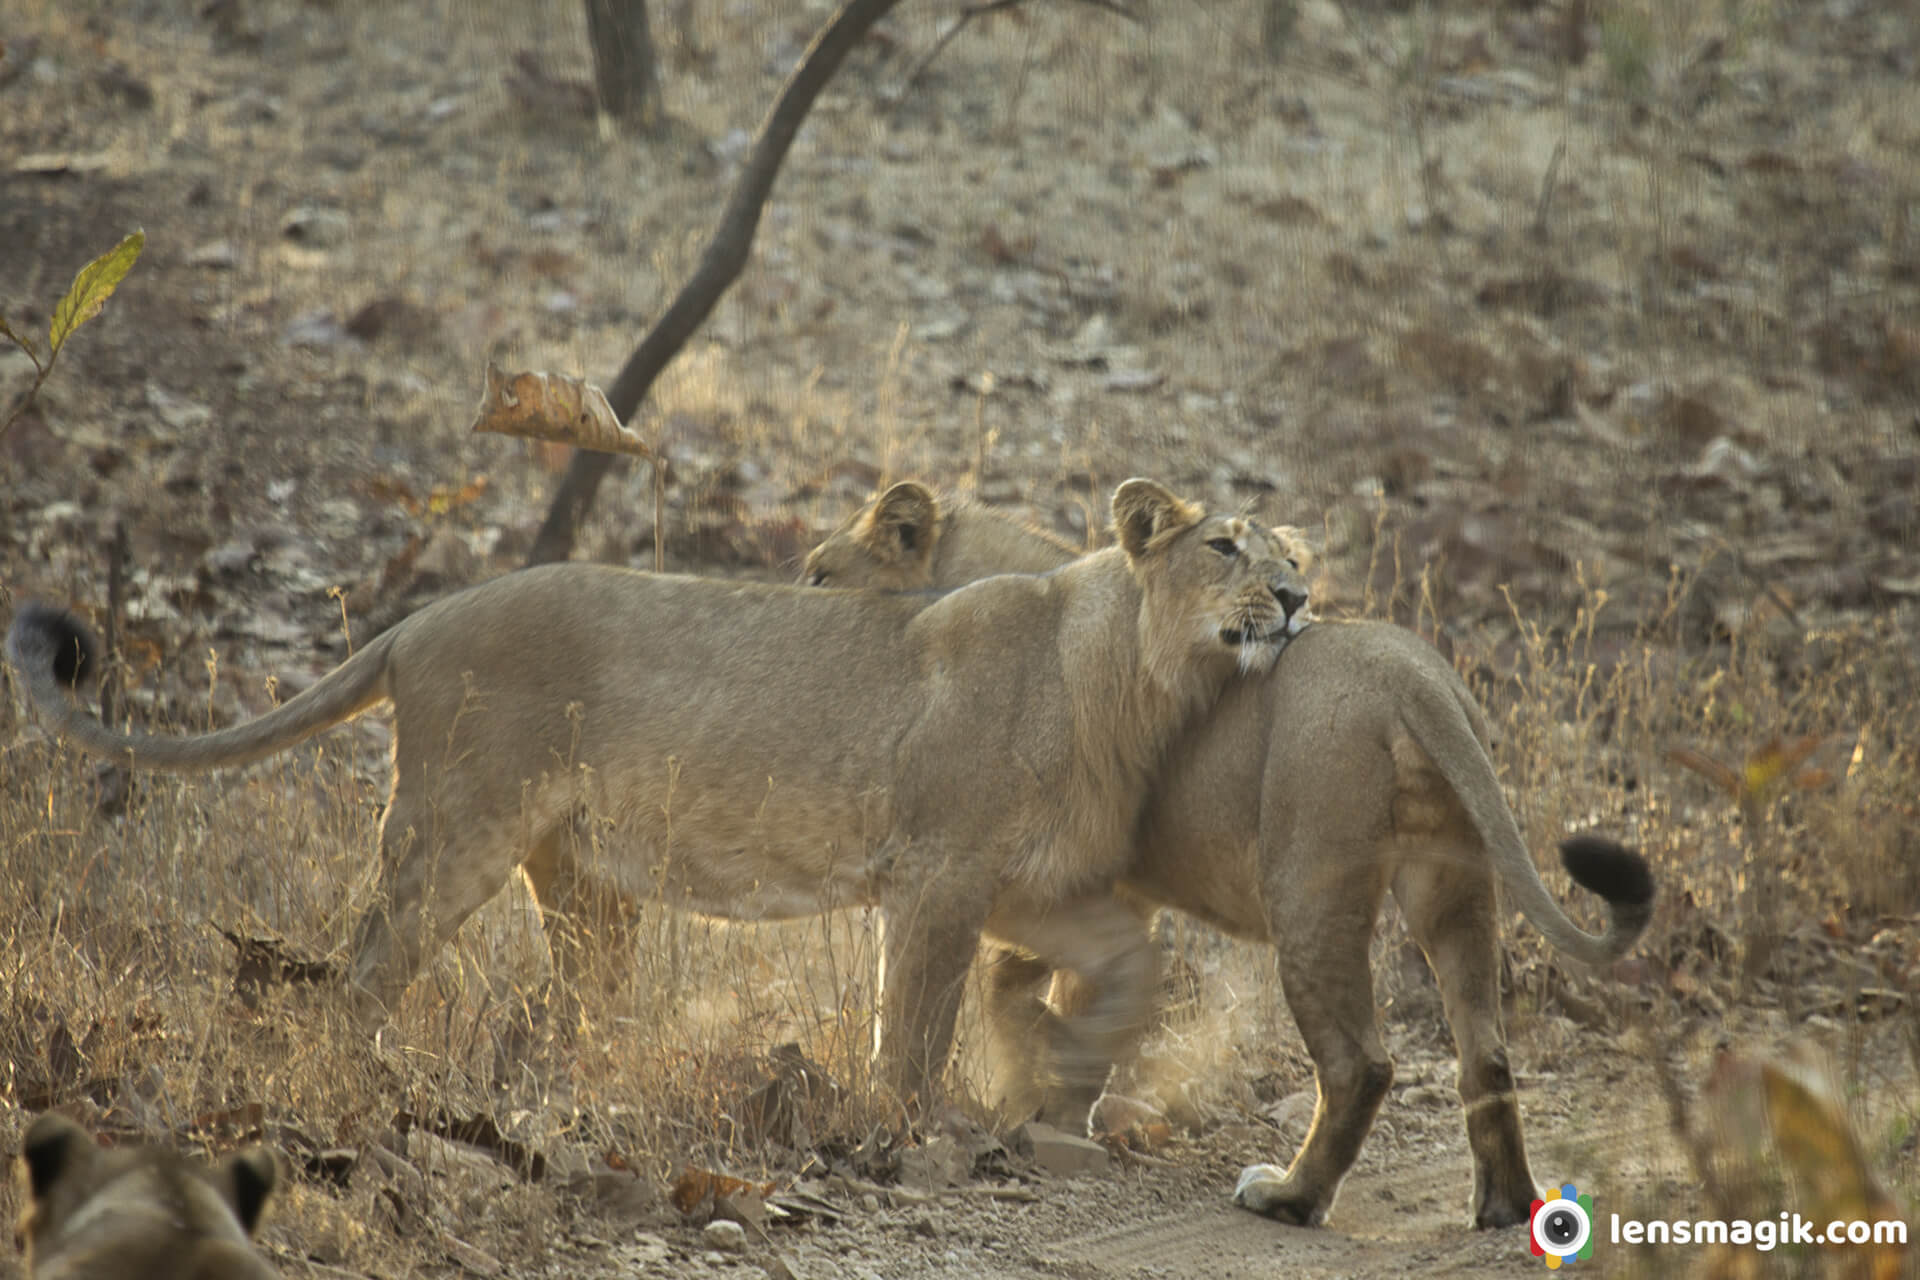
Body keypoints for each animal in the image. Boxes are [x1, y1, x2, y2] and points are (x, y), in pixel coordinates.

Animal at [7, 479, 1313, 1113]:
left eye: (1299, 553)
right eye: (1227, 548)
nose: (1300, 597)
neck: (1135, 679)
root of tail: (420, 618)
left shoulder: (1029, 886)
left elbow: (1122, 960)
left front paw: (1057, 1070)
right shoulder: (938, 873)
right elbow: (912, 1023)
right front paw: (901, 1122)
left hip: (583, 879)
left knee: (569, 1006)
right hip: (453, 833)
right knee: (363, 971)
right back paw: (339, 1085)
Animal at [802, 483, 1658, 1228]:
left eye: (818, 573)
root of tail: (1416, 672)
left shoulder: (1055, 876)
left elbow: (1014, 986)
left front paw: (1040, 1077)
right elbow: (1050, 990)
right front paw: (1057, 1094)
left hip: (1310, 890)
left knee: (1359, 1064)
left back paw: (1289, 1197)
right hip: (1455, 886)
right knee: (1488, 1053)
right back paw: (1505, 1206)